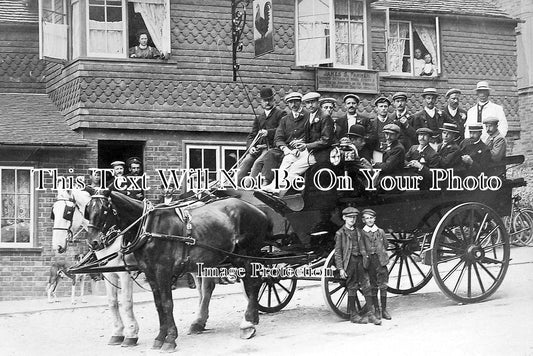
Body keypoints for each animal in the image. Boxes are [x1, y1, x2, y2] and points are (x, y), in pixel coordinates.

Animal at [51, 191, 139, 346]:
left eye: (68, 212)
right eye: (53, 212)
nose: (57, 246)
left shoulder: (125, 273)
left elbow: (127, 302)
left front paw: (131, 334)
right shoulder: (109, 273)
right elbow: (112, 302)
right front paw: (117, 333)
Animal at [85, 191, 272, 352]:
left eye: (104, 209)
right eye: (88, 209)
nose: (93, 242)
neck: (149, 228)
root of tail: (259, 211)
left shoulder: (163, 271)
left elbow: (167, 304)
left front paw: (170, 339)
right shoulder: (150, 273)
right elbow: (159, 305)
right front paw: (160, 338)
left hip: (246, 255)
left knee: (253, 283)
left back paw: (247, 323)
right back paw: (250, 318)